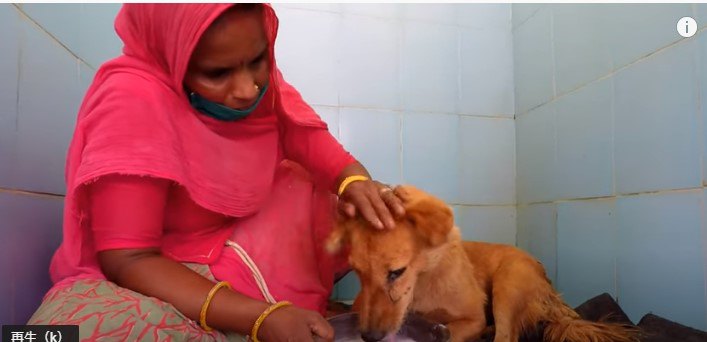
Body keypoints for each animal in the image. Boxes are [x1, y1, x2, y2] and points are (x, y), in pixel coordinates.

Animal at [330, 186, 640, 342]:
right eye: (358, 273)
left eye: (397, 272)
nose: (369, 337)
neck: (423, 281)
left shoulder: (472, 318)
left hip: (507, 283)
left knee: (507, 336)